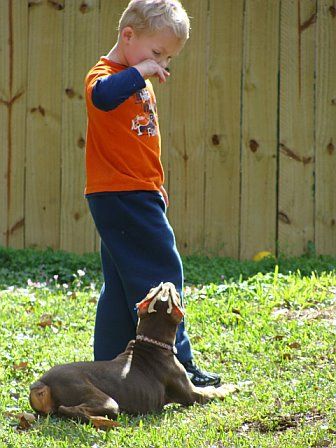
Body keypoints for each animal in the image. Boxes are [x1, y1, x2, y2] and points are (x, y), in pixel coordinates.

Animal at [30, 282, 236, 422]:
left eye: (151, 292)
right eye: (177, 295)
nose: (166, 283)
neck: (152, 342)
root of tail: (42, 383)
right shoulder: (192, 394)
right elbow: (213, 391)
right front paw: (232, 386)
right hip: (102, 399)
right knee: (70, 410)